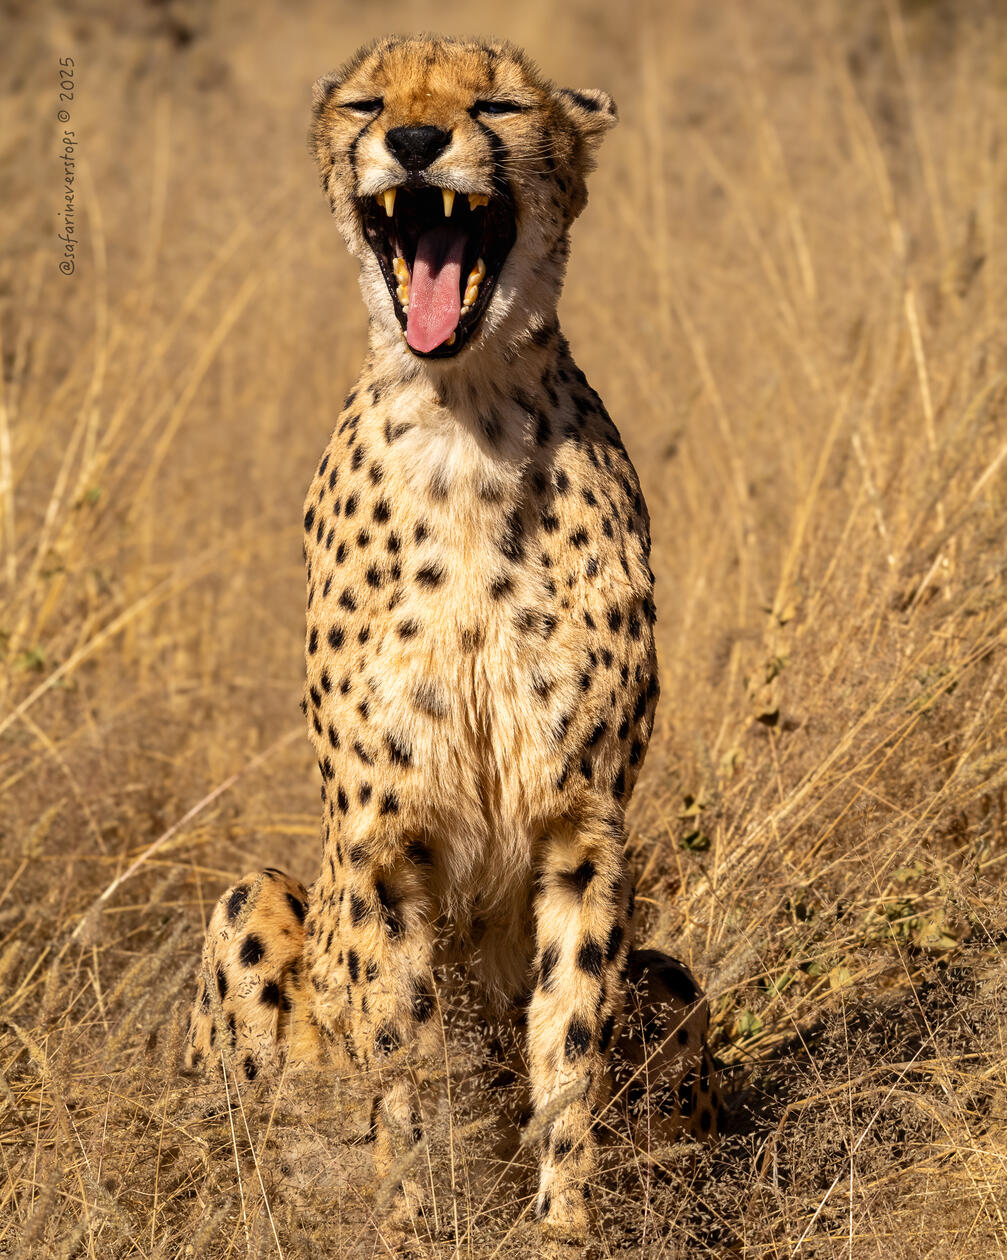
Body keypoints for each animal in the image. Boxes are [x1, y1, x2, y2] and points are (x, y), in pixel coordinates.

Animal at [183, 34, 722, 1244]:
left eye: (497, 105)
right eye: (366, 102)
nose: (418, 139)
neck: (466, 409)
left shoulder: (582, 827)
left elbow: (568, 1049)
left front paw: (564, 1227)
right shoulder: (387, 844)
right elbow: (404, 1056)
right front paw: (412, 1226)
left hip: (668, 976)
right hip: (250, 909)